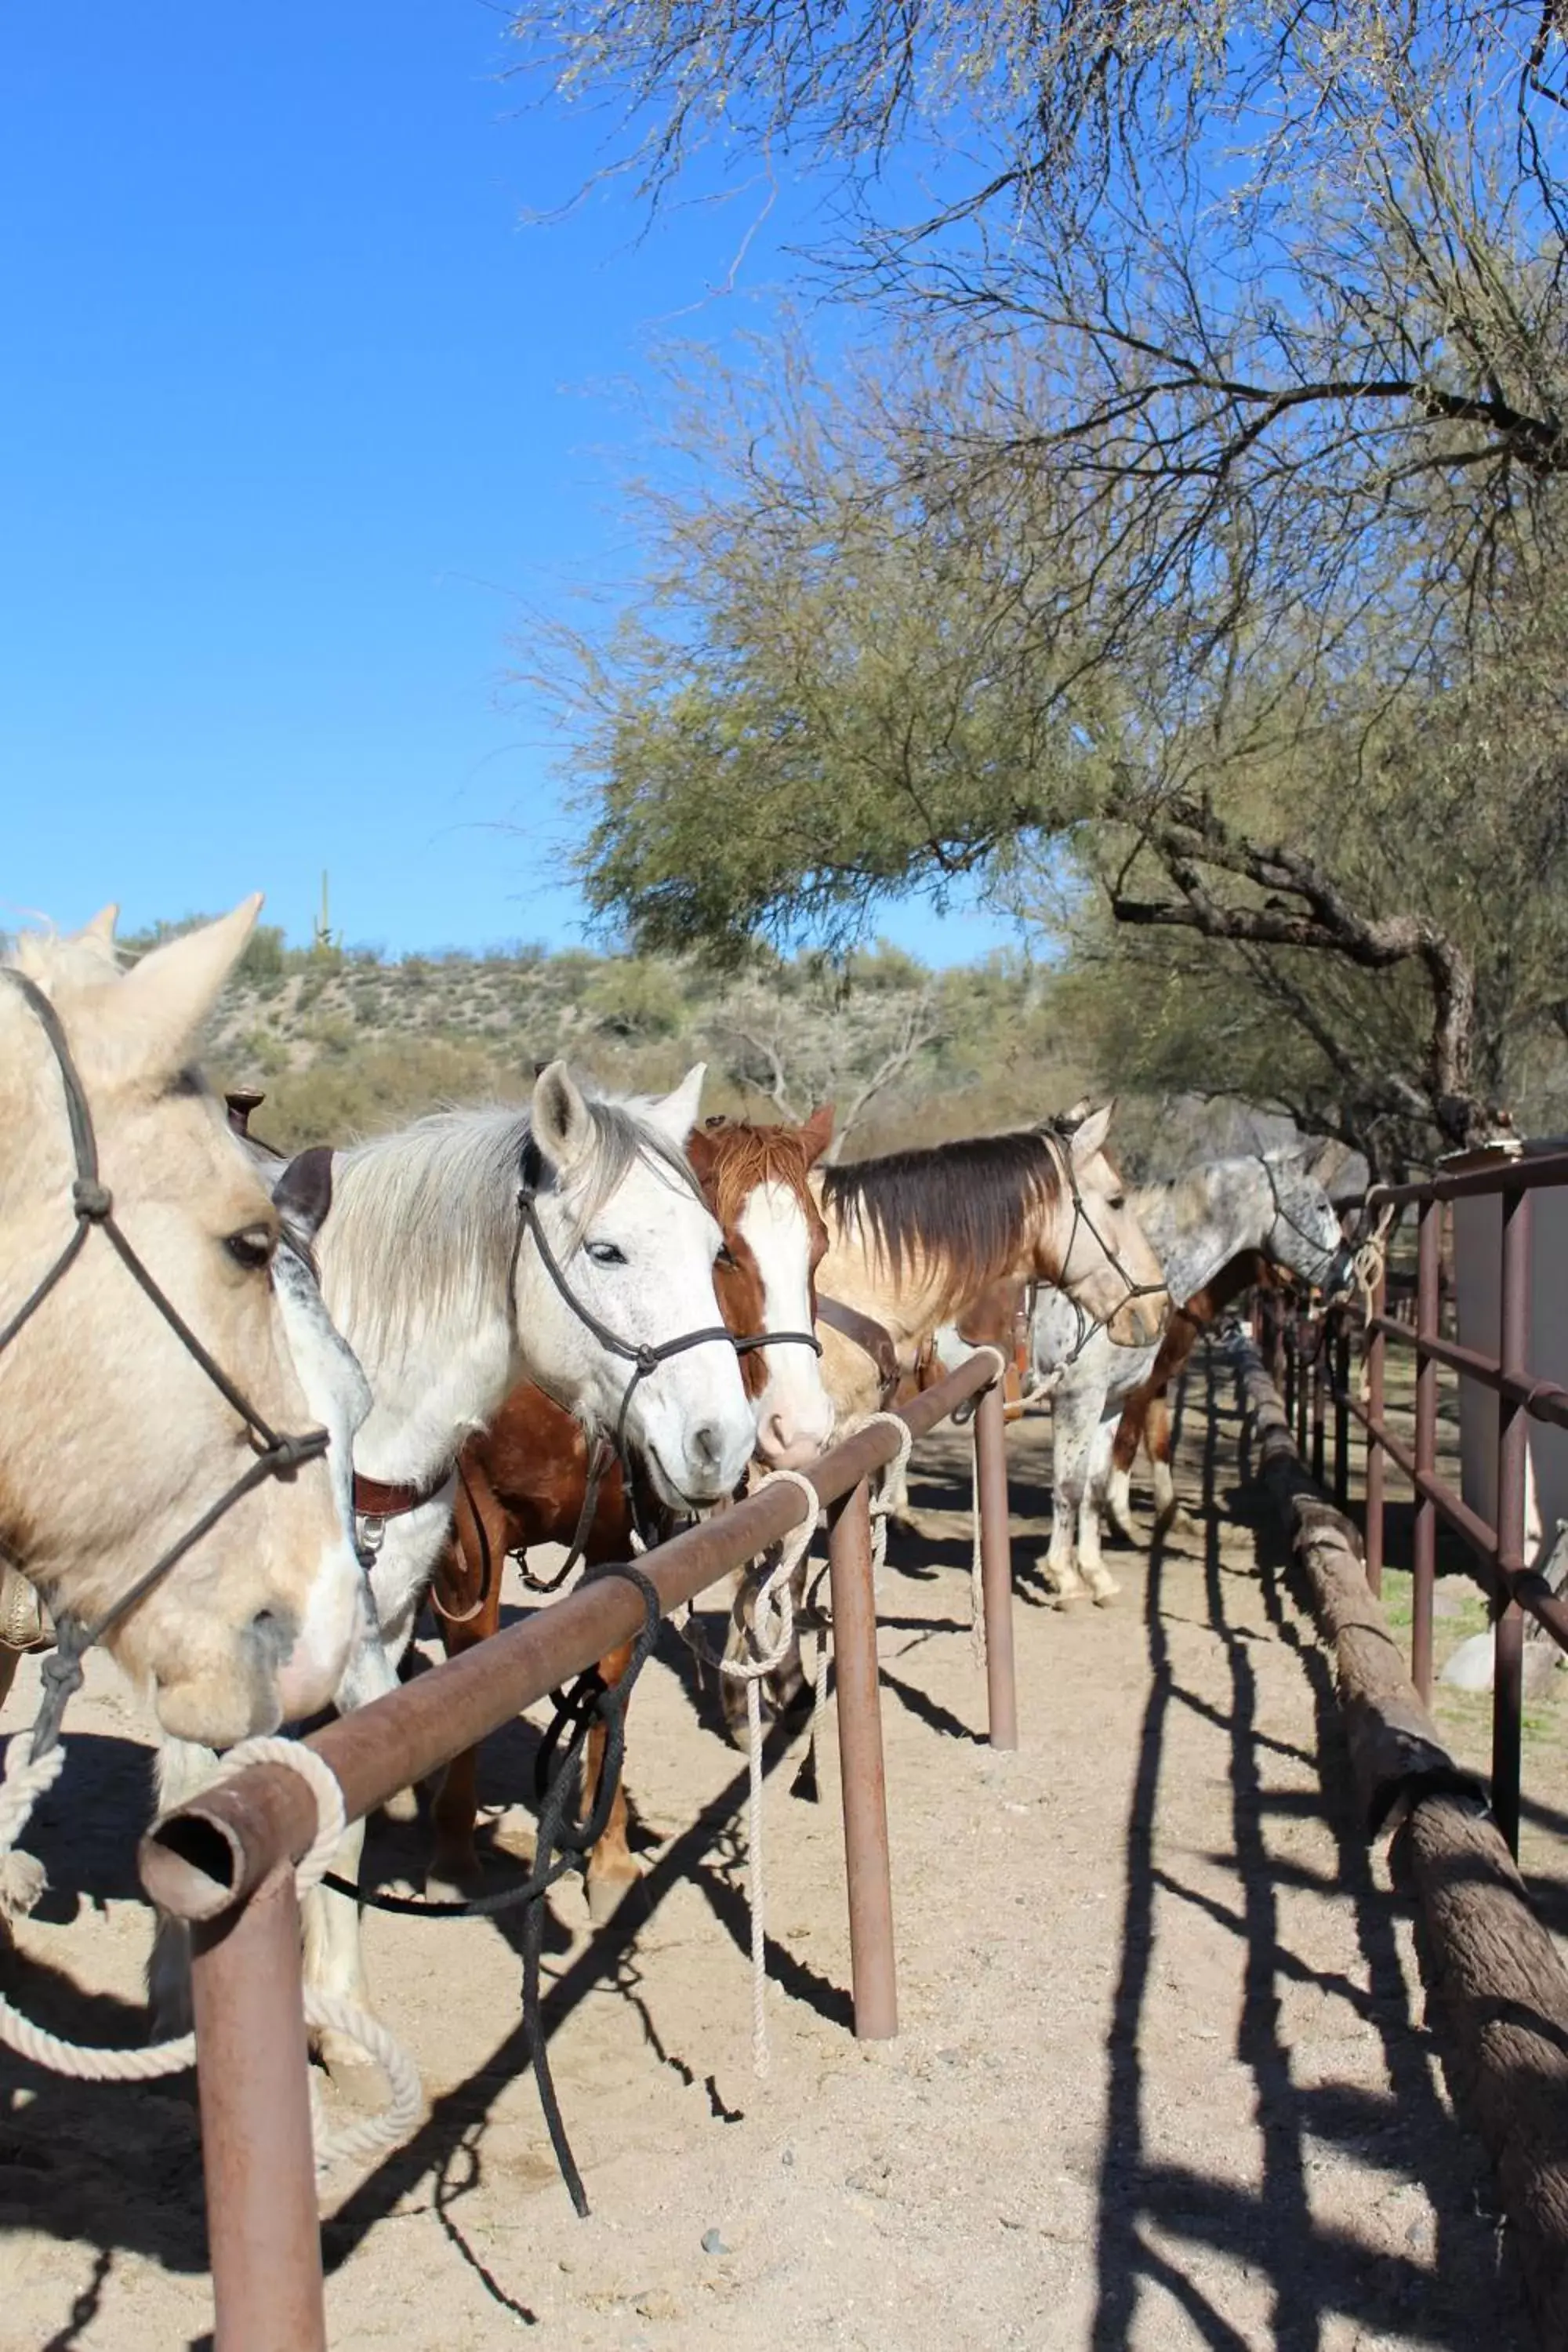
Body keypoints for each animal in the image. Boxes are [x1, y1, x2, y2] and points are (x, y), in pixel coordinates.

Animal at [416, 1105, 832, 1910]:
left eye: (819, 1251)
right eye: (726, 1254)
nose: (799, 1431)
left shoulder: (620, 1546)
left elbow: (609, 1677)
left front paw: (606, 1855)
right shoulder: (470, 1542)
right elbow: (471, 1669)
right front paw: (451, 1848)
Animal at [1029, 1152, 1354, 1609]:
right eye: (1322, 1206)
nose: (1348, 1276)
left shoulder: (1120, 1395)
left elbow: (1108, 1475)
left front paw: (1101, 1571)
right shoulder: (1081, 1398)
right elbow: (1076, 1482)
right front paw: (1069, 1574)